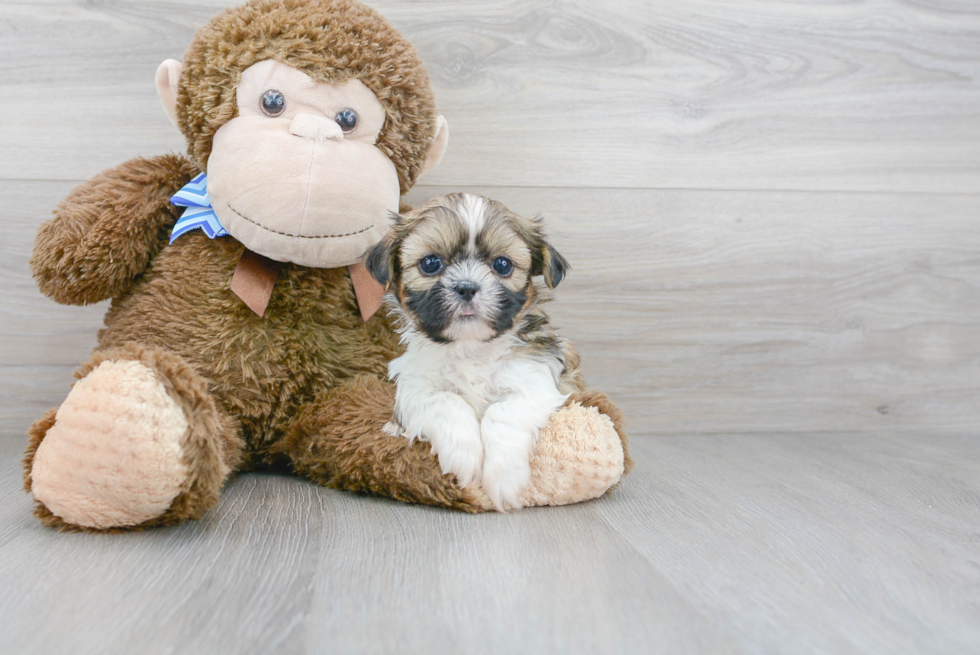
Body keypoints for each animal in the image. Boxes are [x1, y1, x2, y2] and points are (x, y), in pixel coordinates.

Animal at [366, 192, 580, 510]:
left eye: (502, 265)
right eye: (431, 263)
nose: (467, 287)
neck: (470, 347)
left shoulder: (534, 377)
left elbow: (503, 412)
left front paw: (504, 477)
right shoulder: (413, 387)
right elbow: (446, 401)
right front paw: (463, 456)